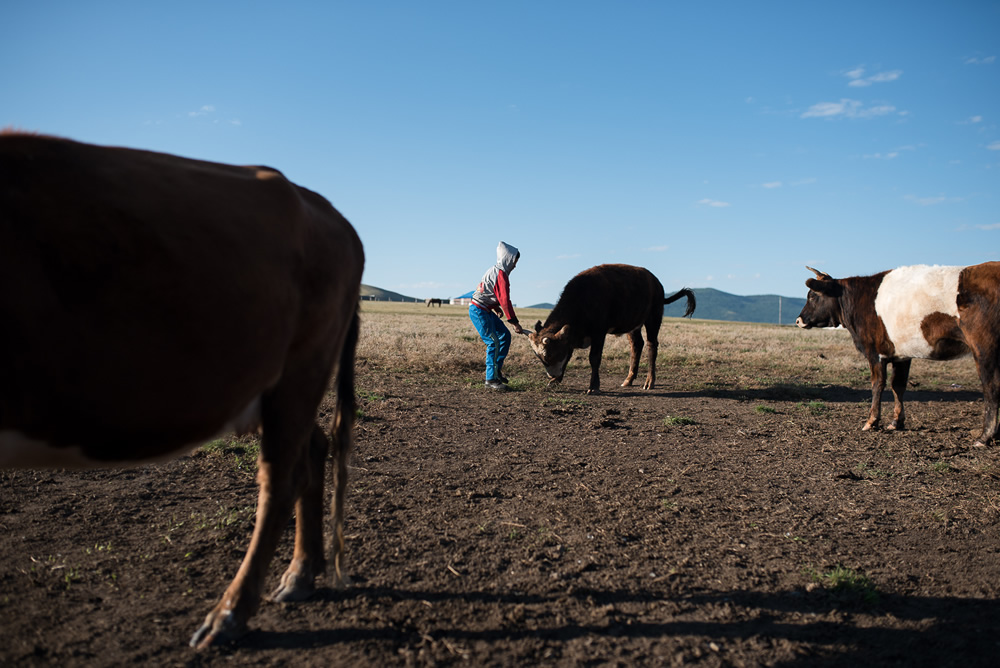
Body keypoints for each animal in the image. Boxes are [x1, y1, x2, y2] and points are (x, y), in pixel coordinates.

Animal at [0, 130, 368, 648]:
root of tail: (329, 212)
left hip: (302, 368)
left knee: (282, 478)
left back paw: (230, 613)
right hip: (276, 385)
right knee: (312, 449)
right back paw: (299, 574)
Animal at [524, 264, 696, 394]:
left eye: (549, 355)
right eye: (540, 357)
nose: (552, 375)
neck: (583, 298)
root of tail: (657, 284)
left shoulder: (599, 333)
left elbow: (594, 358)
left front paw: (593, 387)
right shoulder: (571, 338)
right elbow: (568, 357)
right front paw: (556, 380)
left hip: (653, 318)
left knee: (651, 346)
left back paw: (649, 381)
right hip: (633, 325)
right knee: (637, 345)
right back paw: (629, 379)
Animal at [796, 264, 1000, 446]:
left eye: (812, 296)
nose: (798, 320)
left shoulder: (875, 353)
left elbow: (877, 384)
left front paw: (872, 421)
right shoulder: (902, 355)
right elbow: (898, 386)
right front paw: (896, 422)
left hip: (984, 348)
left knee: (991, 387)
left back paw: (985, 436)